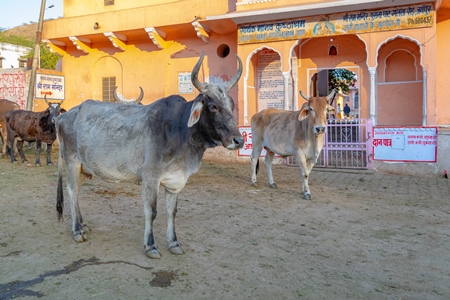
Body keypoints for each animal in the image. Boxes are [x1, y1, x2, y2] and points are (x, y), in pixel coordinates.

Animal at [57, 53, 246, 258]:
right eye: (213, 106)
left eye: (231, 105)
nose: (238, 140)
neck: (180, 129)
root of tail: (63, 116)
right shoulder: (150, 177)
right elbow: (151, 212)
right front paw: (151, 245)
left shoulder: (175, 180)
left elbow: (172, 211)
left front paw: (174, 242)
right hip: (72, 162)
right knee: (72, 192)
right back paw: (77, 231)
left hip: (84, 168)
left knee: (77, 193)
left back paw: (83, 225)